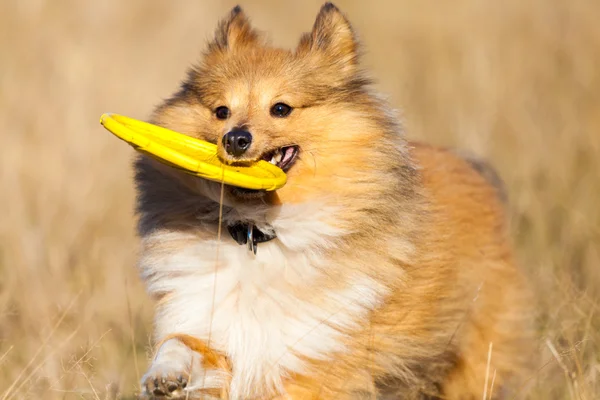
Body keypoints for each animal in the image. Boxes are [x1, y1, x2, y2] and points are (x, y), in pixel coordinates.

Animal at [136, 3, 536, 400]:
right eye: (221, 111)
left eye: (280, 108)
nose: (235, 139)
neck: (258, 232)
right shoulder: (213, 323)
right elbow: (178, 343)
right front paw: (163, 377)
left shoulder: (313, 354)